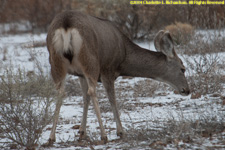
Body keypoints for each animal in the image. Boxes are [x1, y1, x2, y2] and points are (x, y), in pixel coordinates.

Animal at [46, 10, 190, 144]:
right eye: (182, 69)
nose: (187, 90)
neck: (124, 57)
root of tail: (66, 24)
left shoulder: (80, 73)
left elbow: (85, 98)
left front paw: (82, 132)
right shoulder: (108, 68)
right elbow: (112, 99)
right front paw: (120, 131)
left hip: (56, 62)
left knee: (61, 92)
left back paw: (51, 137)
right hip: (90, 60)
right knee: (92, 91)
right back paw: (104, 135)